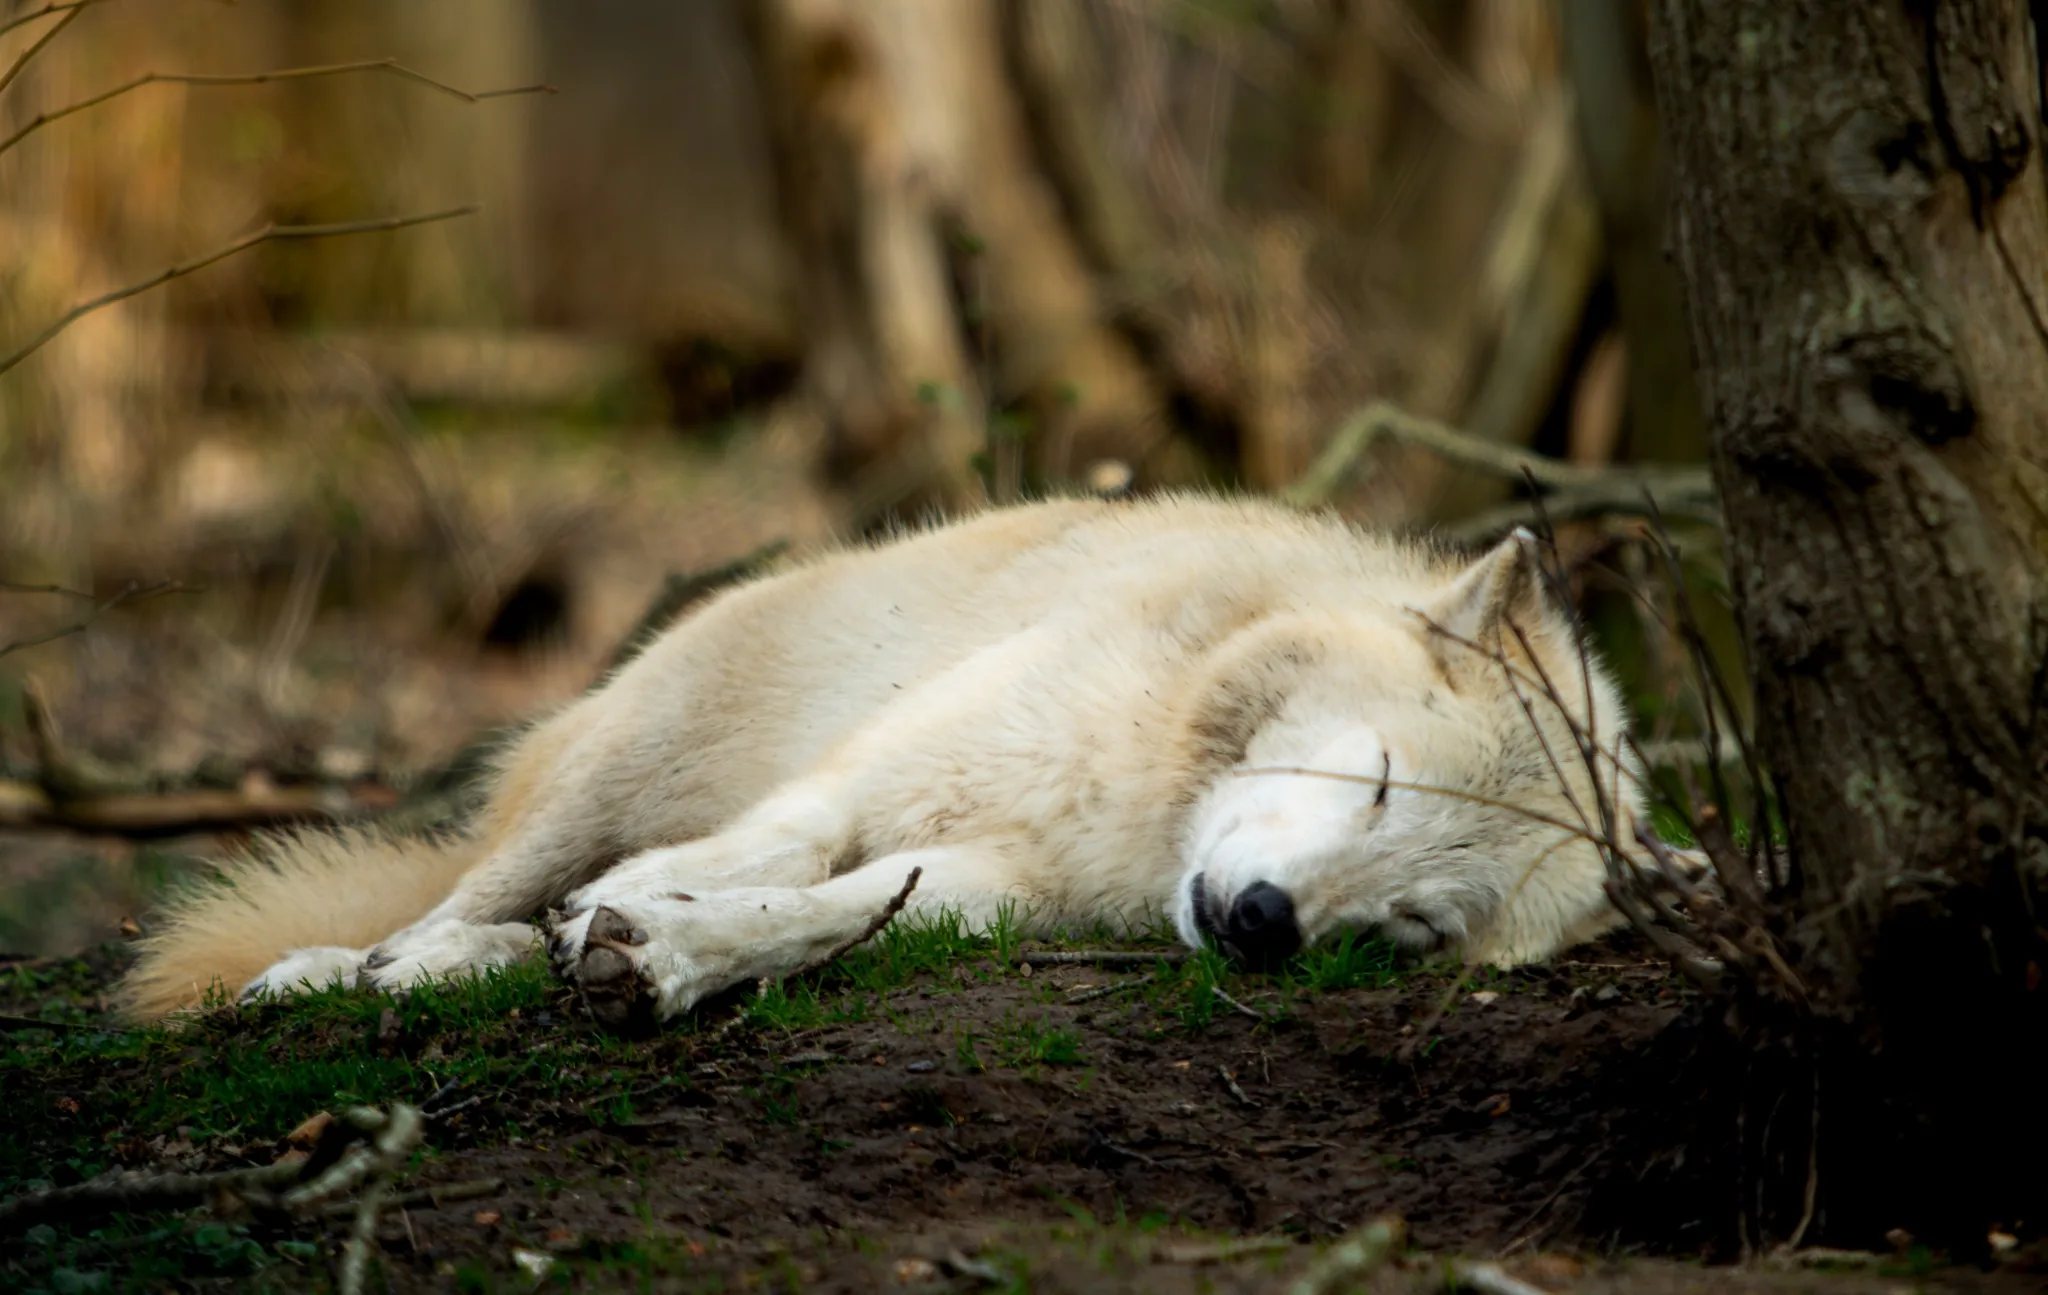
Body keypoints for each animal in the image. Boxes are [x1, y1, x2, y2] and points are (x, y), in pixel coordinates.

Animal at [120, 494, 1657, 1028]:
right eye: (1381, 778)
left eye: (1414, 923)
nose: (1266, 925)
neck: (1143, 807)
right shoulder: (890, 755)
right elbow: (787, 844)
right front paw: (647, 902)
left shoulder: (1000, 885)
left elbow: (824, 914)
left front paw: (672, 953)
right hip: (612, 766)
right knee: (459, 894)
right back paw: (365, 965)